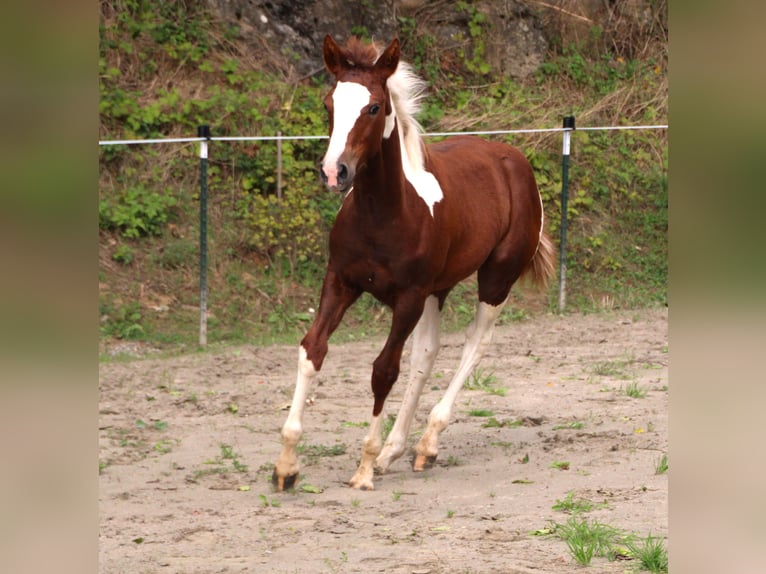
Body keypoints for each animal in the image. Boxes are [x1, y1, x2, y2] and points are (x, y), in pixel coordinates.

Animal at [272, 36, 556, 492]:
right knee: (427, 352)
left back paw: (425, 444)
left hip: (495, 279)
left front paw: (364, 469)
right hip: (436, 290)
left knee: (475, 344)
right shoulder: (341, 283)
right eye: (329, 103)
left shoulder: (407, 298)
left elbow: (384, 370)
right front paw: (286, 466)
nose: (335, 172)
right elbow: (312, 350)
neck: (384, 215)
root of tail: (513, 157)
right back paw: (396, 450)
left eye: (373, 107)